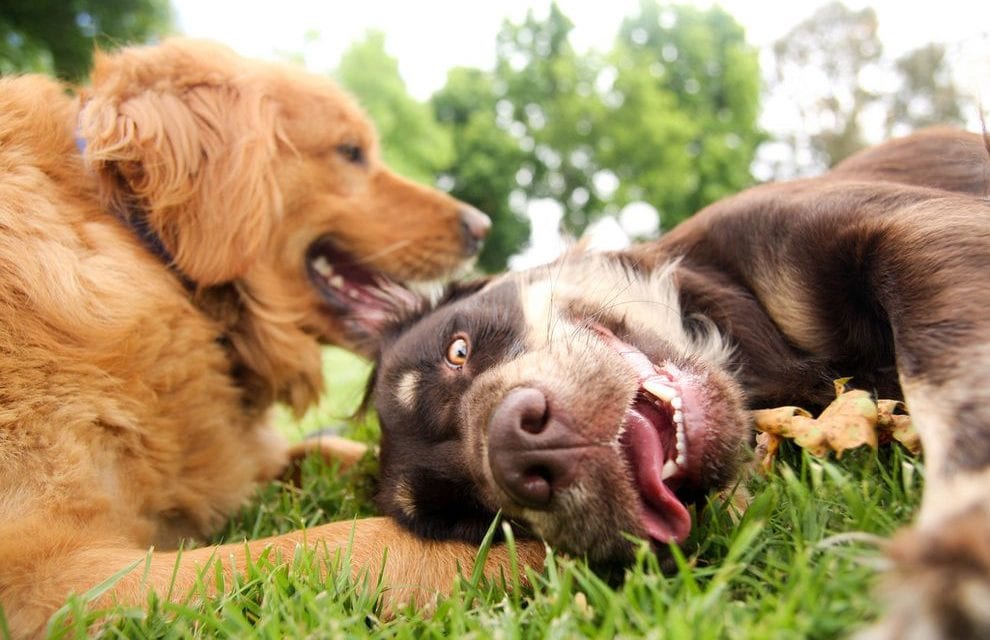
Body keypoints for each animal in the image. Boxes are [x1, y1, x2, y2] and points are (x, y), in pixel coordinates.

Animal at [360, 127, 990, 636]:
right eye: (468, 515)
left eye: (458, 351)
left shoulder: (918, 228)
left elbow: (949, 378)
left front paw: (961, 545)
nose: (524, 453)